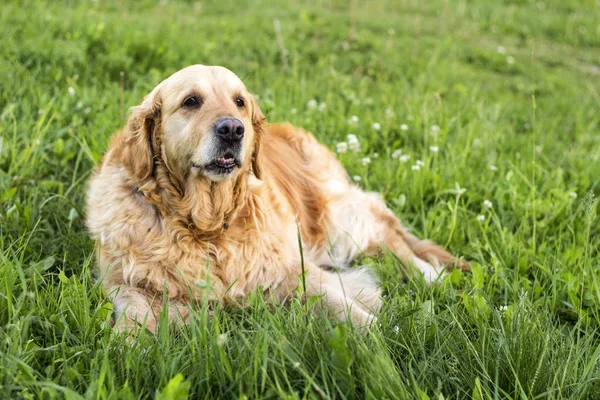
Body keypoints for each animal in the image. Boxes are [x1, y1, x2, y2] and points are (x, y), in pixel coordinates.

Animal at [85, 65, 468, 332]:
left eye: (239, 101)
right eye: (191, 101)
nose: (232, 129)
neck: (207, 225)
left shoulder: (291, 269)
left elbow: (338, 302)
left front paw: (379, 336)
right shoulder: (126, 283)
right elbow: (133, 320)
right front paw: (127, 346)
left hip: (340, 221)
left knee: (393, 240)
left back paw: (431, 277)